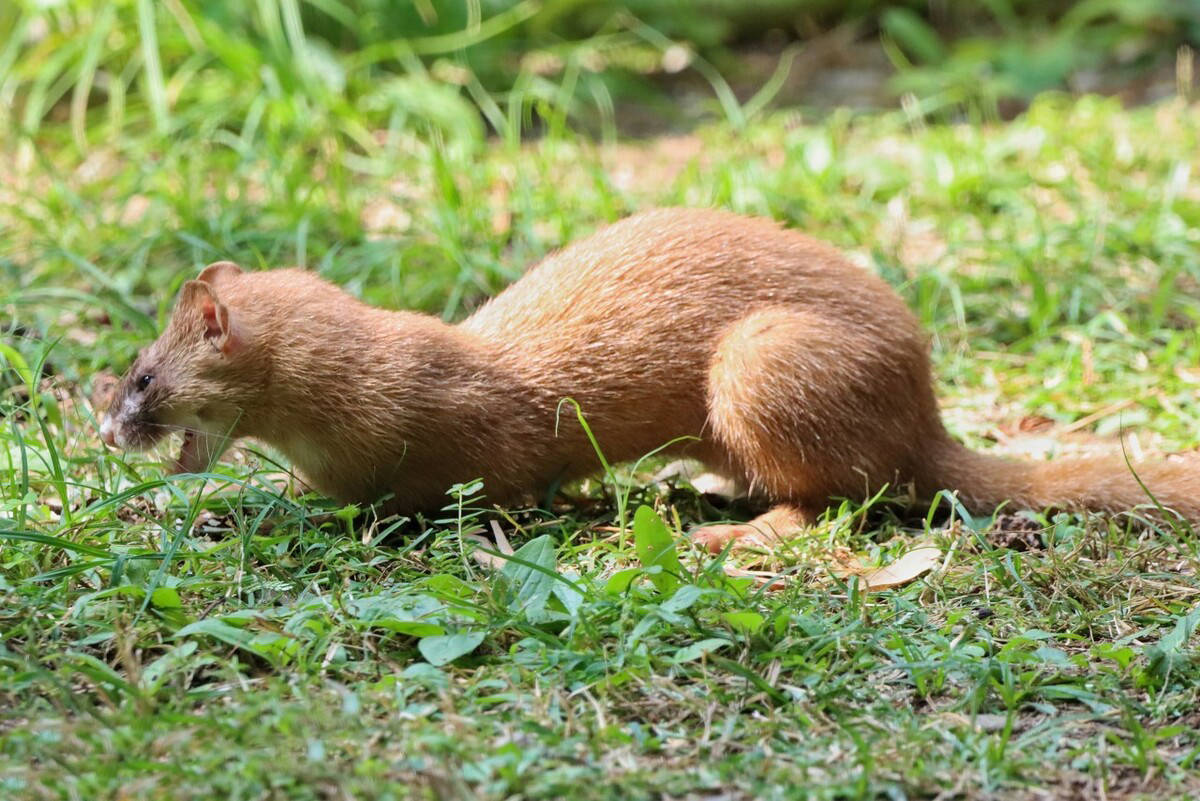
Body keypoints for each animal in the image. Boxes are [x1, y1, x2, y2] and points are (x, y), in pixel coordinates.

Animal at [100, 205, 1200, 551]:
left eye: (141, 376)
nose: (106, 429)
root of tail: (924, 406)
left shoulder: (472, 441)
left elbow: (482, 488)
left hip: (763, 359)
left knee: (847, 495)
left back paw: (731, 530)